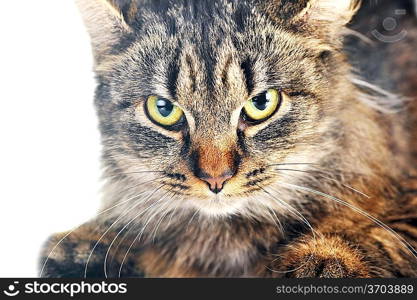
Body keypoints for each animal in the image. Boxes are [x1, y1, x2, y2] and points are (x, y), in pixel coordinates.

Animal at [39, 0, 416, 278]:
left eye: (262, 103)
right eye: (163, 109)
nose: (215, 178)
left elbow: (378, 234)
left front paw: (324, 261)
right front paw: (84, 249)